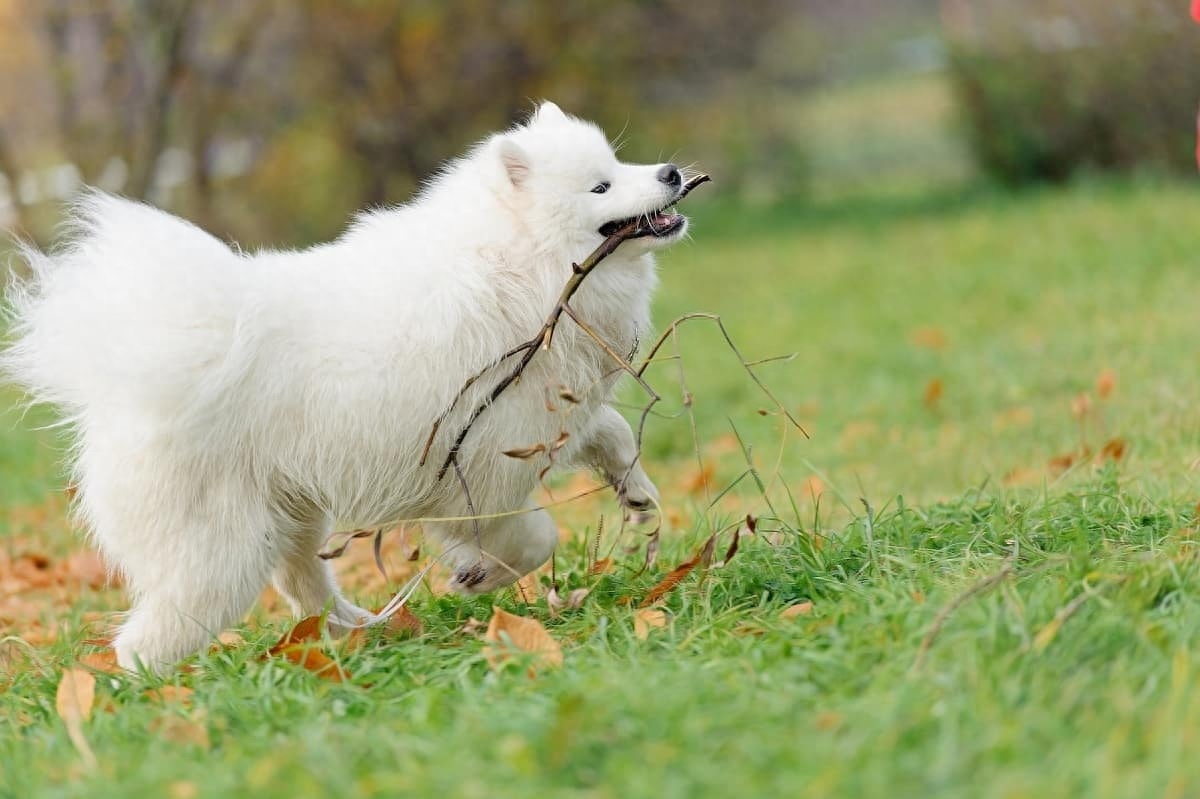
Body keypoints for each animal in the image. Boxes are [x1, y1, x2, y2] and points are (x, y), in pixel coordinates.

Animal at [0, 101, 696, 671]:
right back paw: (148, 691)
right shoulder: (480, 472)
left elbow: (611, 435)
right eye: (601, 185)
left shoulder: (554, 413)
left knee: (303, 585)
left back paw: (360, 631)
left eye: (619, 162)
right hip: (219, 553)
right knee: (154, 635)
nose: (668, 172)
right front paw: (477, 576)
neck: (518, 267)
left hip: (291, 512)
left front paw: (637, 497)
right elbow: (531, 537)